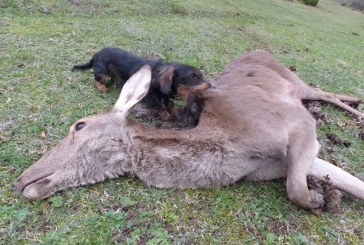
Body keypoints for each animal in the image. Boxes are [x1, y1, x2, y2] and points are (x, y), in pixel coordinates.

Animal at [72, 47, 208, 111]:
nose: (209, 86)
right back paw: (102, 88)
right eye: (192, 76)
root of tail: (96, 54)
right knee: (97, 80)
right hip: (103, 74)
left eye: (201, 75)